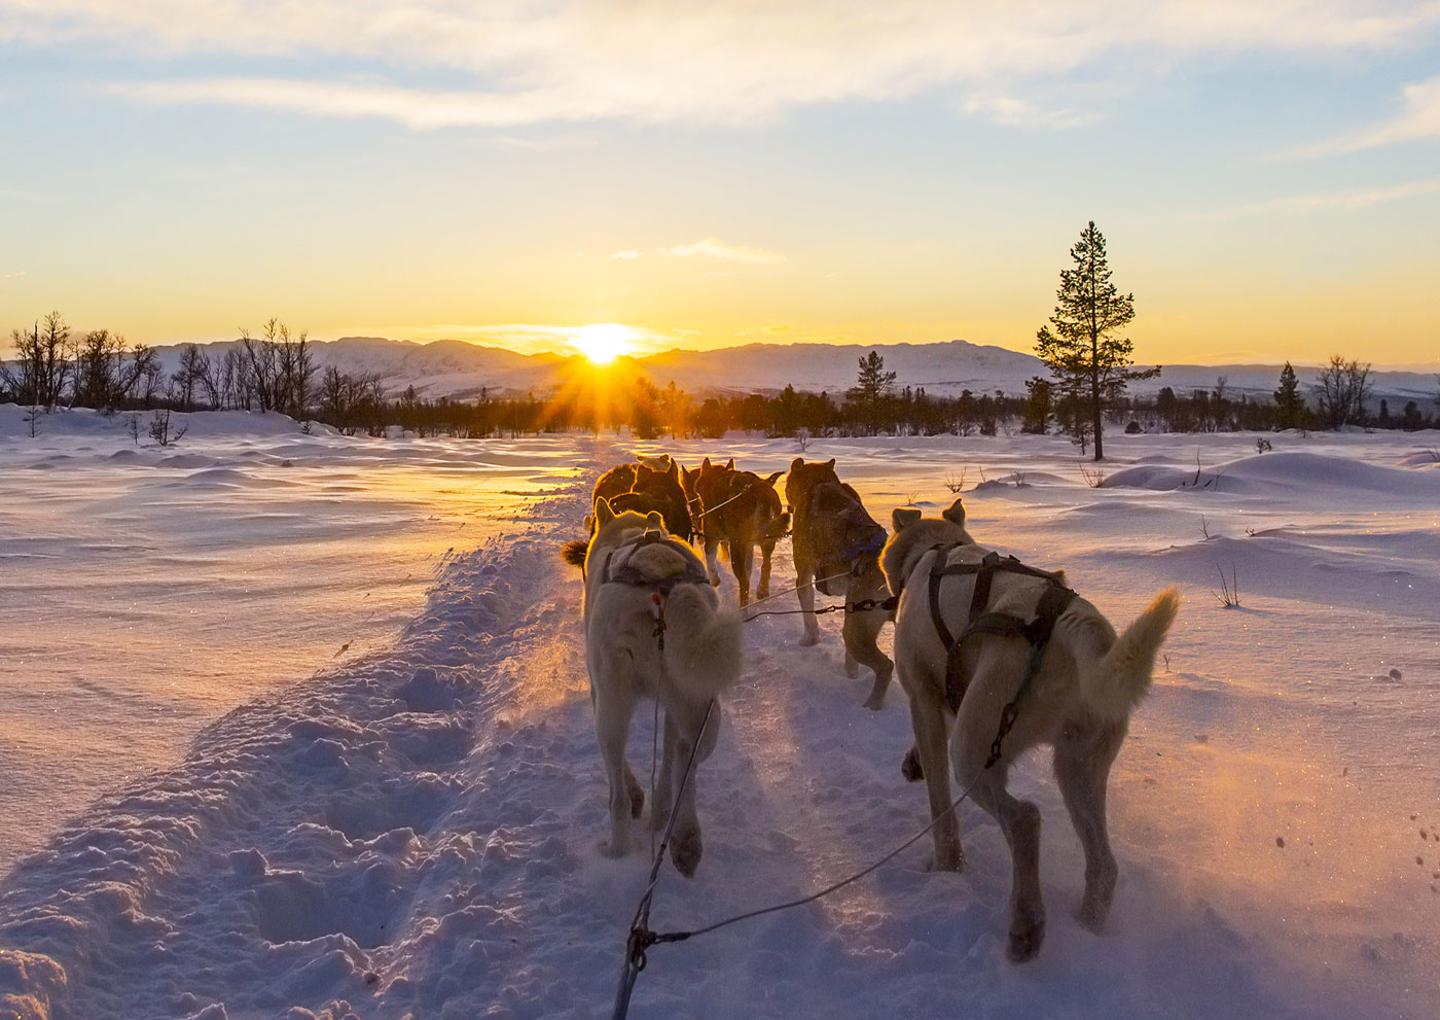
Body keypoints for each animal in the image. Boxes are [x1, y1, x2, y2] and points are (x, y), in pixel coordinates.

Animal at [576, 498, 743, 870]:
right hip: (698, 702)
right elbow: (667, 759)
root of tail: (664, 589)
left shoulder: (598, 693)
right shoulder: (669, 708)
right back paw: (683, 835)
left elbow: (624, 775)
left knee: (618, 793)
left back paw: (619, 848)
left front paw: (639, 799)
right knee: (685, 756)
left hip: (613, 706)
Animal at [682, 461, 794, 605]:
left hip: (736, 546)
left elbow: (710, 559)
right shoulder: (748, 545)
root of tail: (759, 492)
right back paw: (762, 590)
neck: (716, 477)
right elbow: (749, 568)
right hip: (767, 540)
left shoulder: (712, 536)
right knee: (766, 565)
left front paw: (714, 580)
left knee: (744, 583)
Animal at [789, 455, 887, 705]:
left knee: (885, 666)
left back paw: (872, 704)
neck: (819, 482)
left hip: (855, 631)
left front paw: (809, 639)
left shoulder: (804, 575)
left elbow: (808, 616)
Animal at [875, 501, 1180, 962]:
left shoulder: (924, 699)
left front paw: (946, 868)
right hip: (1079, 767)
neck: (934, 551)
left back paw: (1026, 924)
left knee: (1024, 819)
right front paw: (912, 762)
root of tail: (1073, 626)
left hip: (975, 753)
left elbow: (941, 808)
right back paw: (1087, 927)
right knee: (1103, 865)